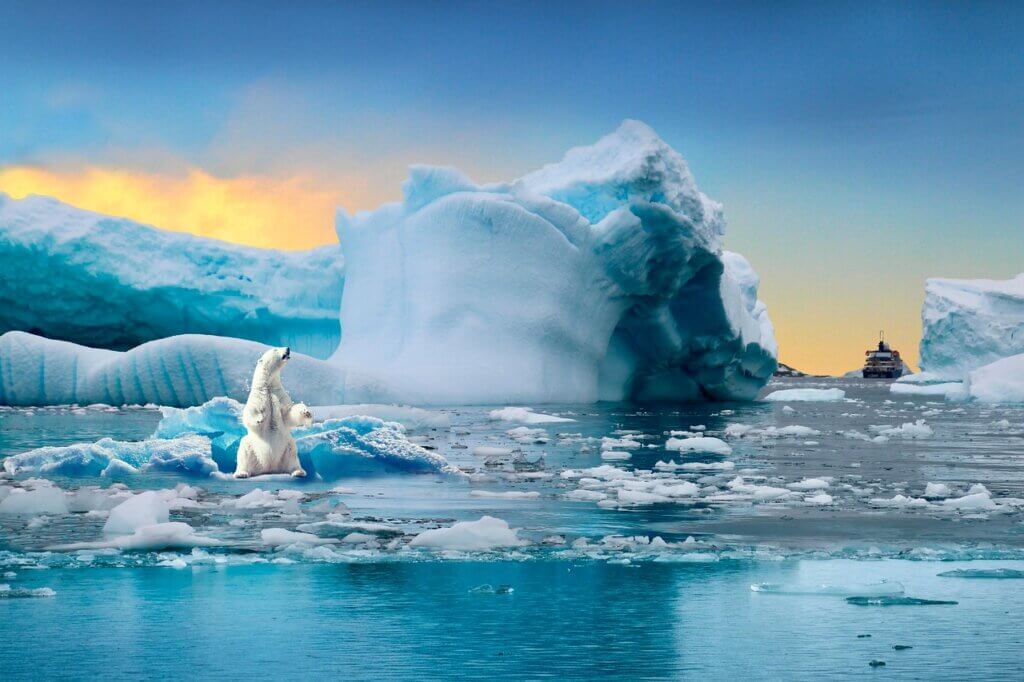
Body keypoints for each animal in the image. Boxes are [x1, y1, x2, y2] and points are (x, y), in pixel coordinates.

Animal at [235, 346, 313, 479]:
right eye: (275, 349)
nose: (288, 348)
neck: (268, 385)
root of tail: (269, 468)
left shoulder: (279, 395)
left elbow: (288, 414)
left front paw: (306, 412)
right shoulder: (258, 396)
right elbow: (249, 412)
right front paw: (259, 418)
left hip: (286, 447)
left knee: (293, 455)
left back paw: (298, 472)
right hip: (252, 447)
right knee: (244, 450)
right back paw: (241, 473)